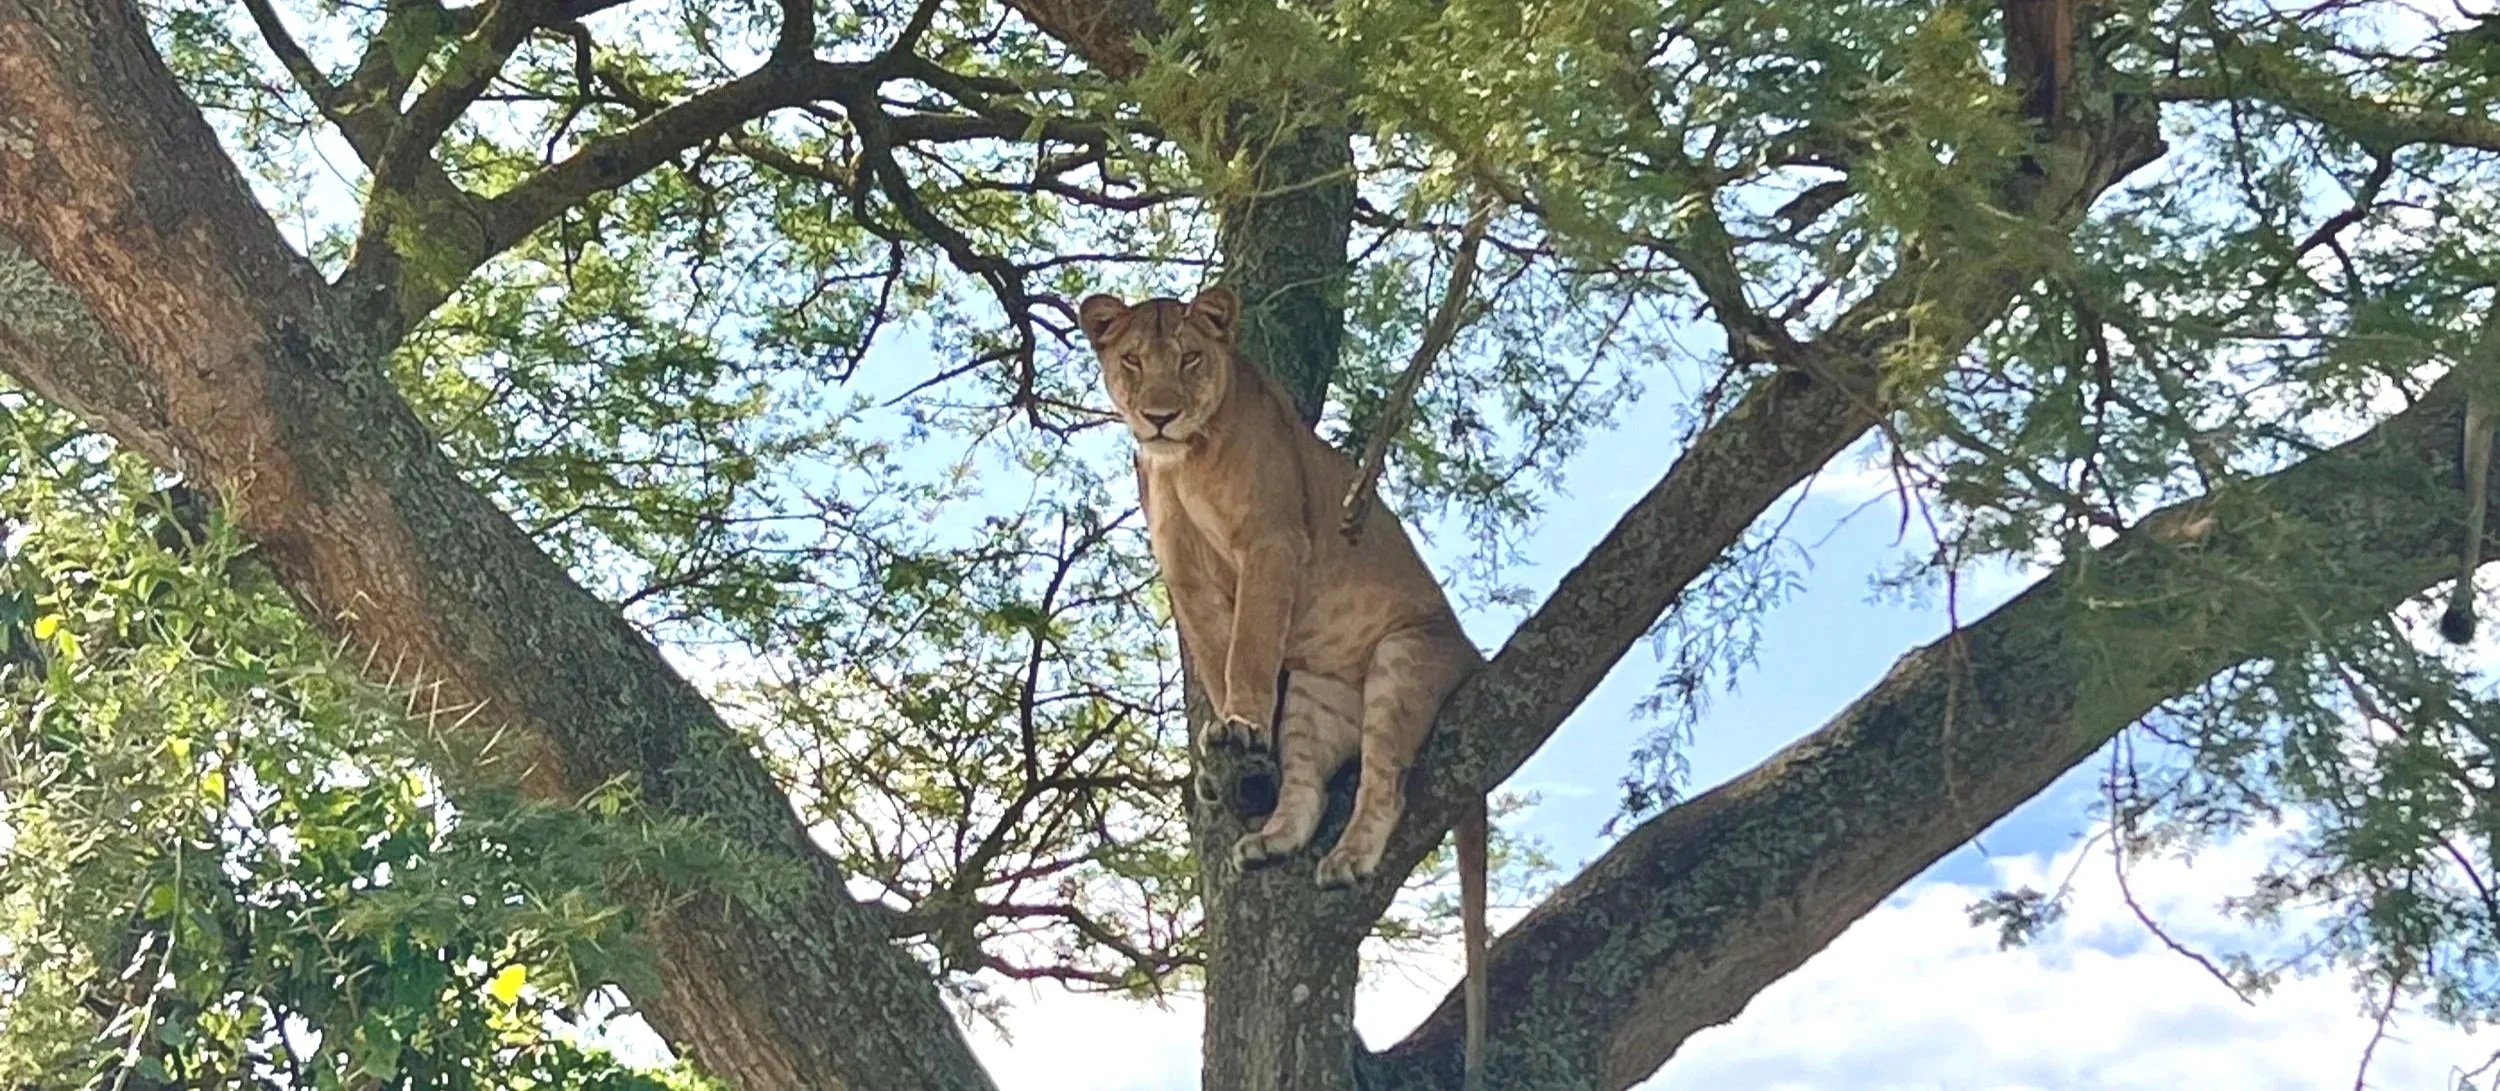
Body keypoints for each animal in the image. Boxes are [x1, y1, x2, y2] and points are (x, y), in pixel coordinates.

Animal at [1079, 284, 1492, 1086]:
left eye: (1191, 358)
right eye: (1133, 360)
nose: (1160, 415)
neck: (1183, 463)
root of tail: (1474, 658)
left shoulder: (1271, 543)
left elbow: (1247, 648)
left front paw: (1238, 724)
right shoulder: (1185, 572)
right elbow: (1215, 656)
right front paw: (1224, 754)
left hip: (1402, 658)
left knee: (1386, 783)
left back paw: (1348, 859)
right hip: (1310, 691)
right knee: (1306, 791)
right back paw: (1269, 840)